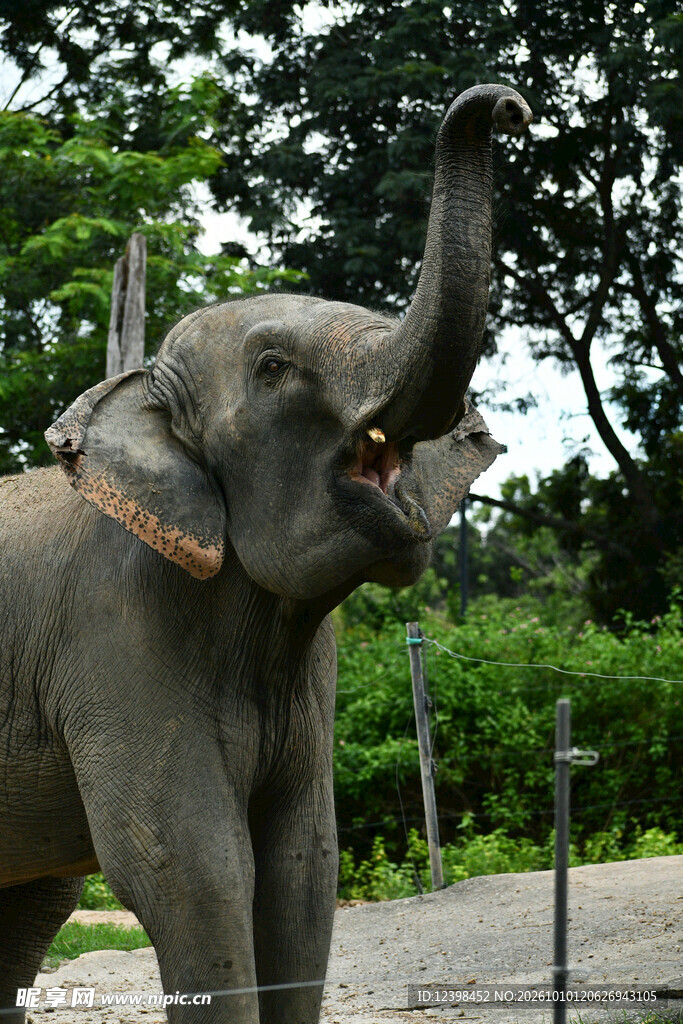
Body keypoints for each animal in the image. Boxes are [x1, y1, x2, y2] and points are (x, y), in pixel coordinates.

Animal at [0, 83, 531, 1023]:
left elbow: (302, 869)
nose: (509, 104)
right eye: (275, 369)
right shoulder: (115, 639)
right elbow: (192, 868)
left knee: (30, 908)